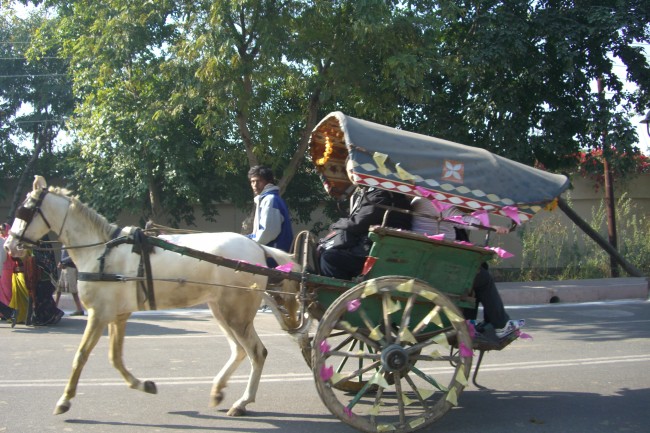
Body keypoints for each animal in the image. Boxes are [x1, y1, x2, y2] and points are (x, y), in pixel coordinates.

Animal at [3, 175, 298, 416]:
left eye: (24, 211)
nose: (9, 245)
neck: (101, 251)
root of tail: (258, 249)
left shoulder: (99, 314)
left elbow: (81, 355)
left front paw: (65, 400)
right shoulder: (118, 315)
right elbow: (115, 357)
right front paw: (143, 384)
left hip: (235, 313)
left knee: (256, 352)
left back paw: (242, 402)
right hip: (221, 310)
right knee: (239, 350)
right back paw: (219, 391)